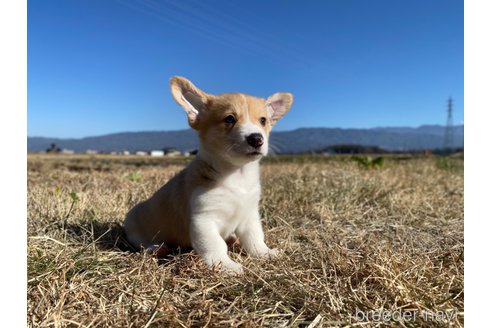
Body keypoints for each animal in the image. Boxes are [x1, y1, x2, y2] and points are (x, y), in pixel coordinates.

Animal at [125, 77, 292, 274]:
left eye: (263, 120)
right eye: (229, 119)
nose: (257, 138)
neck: (237, 175)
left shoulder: (250, 215)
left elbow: (255, 237)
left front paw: (265, 253)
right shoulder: (203, 220)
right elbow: (216, 245)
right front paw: (226, 265)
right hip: (134, 226)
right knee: (142, 245)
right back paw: (157, 248)